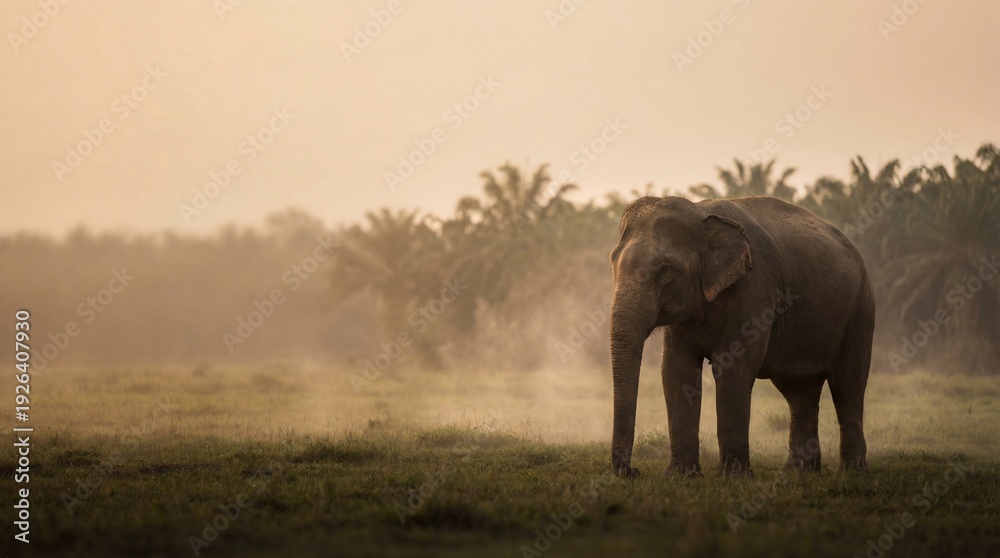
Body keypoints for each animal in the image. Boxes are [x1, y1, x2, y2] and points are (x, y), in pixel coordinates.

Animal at [609, 195, 874, 478]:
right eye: (612, 263)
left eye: (665, 269)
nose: (634, 471)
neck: (700, 211)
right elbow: (676, 371)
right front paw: (681, 475)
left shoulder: (754, 289)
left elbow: (733, 369)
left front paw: (732, 477)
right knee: (799, 392)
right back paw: (797, 473)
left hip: (859, 312)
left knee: (847, 385)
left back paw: (851, 472)